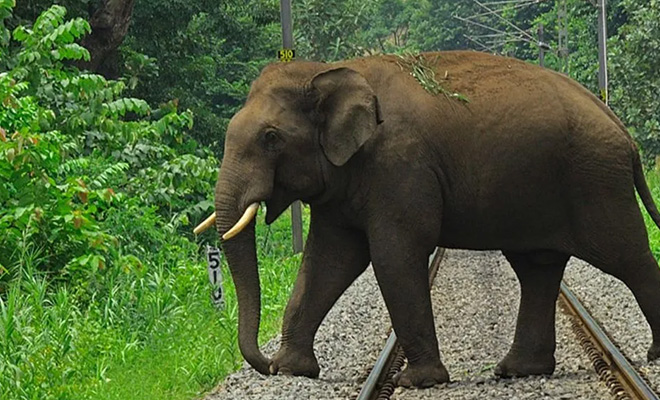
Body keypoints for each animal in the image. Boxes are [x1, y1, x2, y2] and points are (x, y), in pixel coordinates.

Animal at [213, 51, 660, 390]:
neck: (331, 68)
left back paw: (653, 354)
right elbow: (329, 260)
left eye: (271, 138)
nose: (265, 364)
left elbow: (395, 255)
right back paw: (517, 371)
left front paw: (418, 381)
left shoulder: (399, 165)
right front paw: (293, 370)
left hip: (596, 184)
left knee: (630, 260)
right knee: (538, 268)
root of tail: (622, 129)